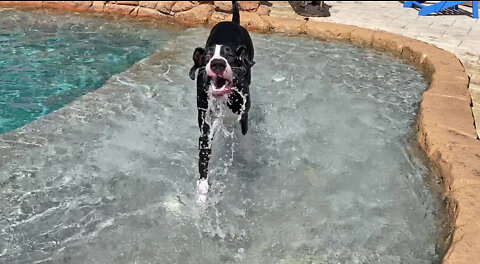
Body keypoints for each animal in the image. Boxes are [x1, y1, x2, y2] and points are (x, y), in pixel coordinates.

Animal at [189, 1, 255, 201]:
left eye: (230, 55)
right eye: (207, 55)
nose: (217, 63)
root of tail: (232, 21)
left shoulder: (244, 113)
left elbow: (245, 136)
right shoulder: (205, 122)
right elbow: (204, 149)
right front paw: (202, 187)